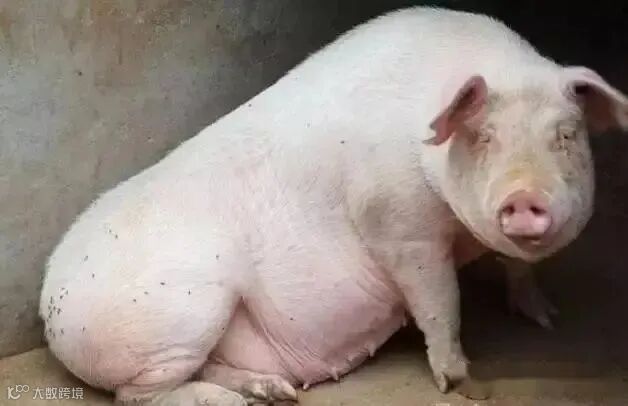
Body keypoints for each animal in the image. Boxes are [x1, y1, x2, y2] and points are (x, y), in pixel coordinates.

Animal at [39, 6, 628, 405]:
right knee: (138, 395)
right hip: (176, 310)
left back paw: (276, 391)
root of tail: (49, 307)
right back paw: (236, 400)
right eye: (483, 137)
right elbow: (439, 303)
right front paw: (456, 378)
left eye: (567, 135)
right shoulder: (397, 222)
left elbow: (516, 266)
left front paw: (546, 320)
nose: (525, 198)